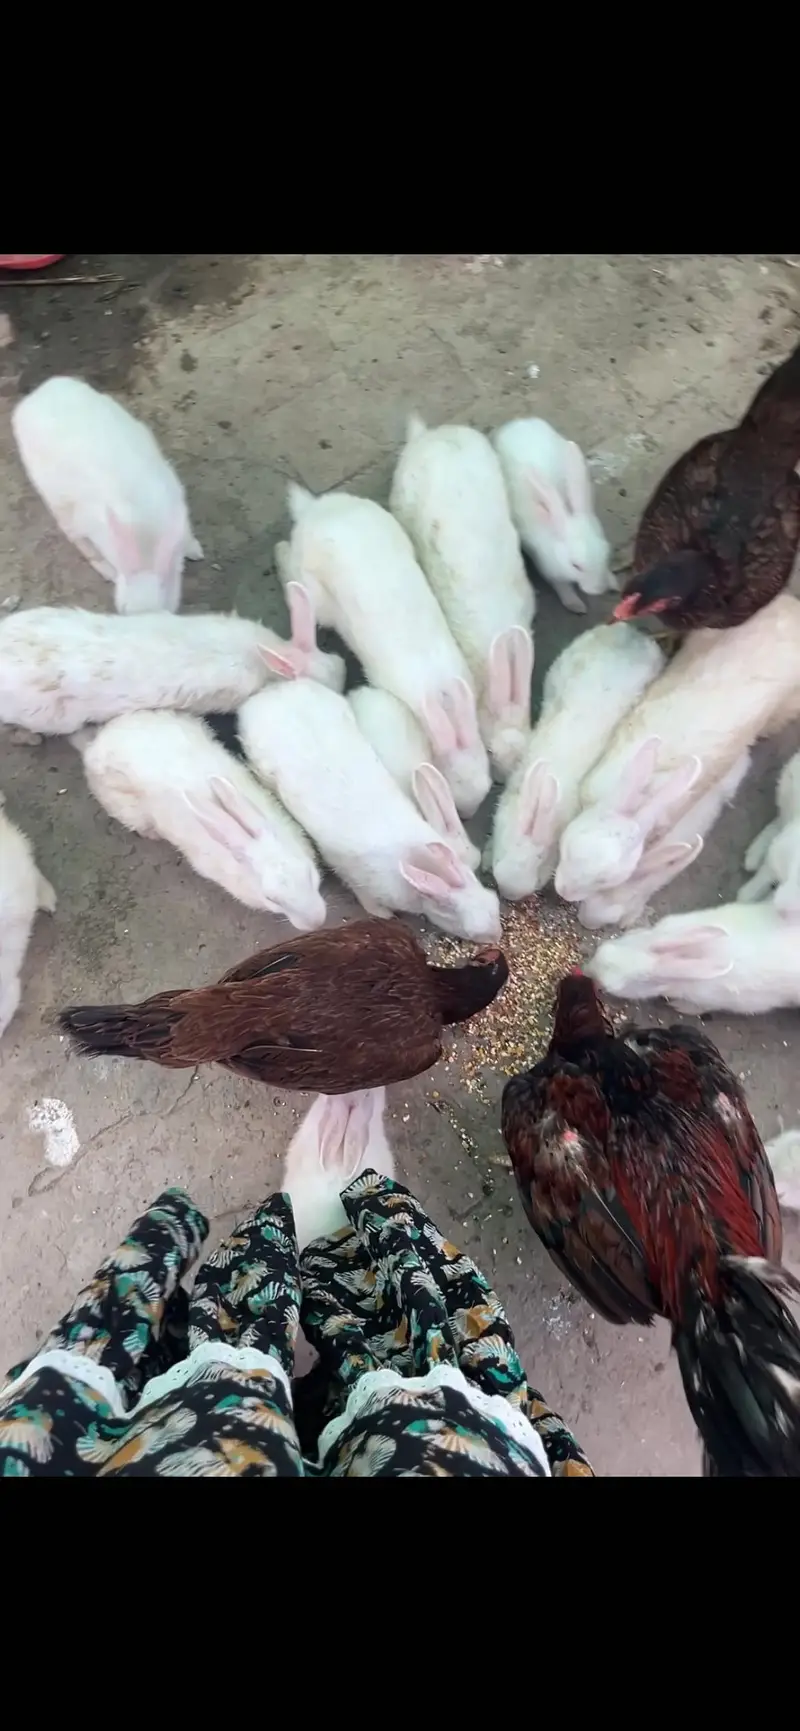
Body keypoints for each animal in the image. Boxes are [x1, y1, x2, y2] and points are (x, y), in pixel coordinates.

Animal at [12, 376, 204, 614]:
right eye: (122, 610)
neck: (147, 545)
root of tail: (33, 398)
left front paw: (196, 551)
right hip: (59, 505)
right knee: (80, 542)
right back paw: (106, 570)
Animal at [273, 482, 491, 816]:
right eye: (453, 789)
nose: (468, 814)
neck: (443, 704)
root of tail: (313, 510)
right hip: (314, 592)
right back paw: (279, 553)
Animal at [491, 417, 613, 614]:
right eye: (575, 565)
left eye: (606, 553)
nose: (597, 589)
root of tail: (518, 422)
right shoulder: (549, 570)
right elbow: (562, 586)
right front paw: (575, 604)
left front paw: (612, 581)